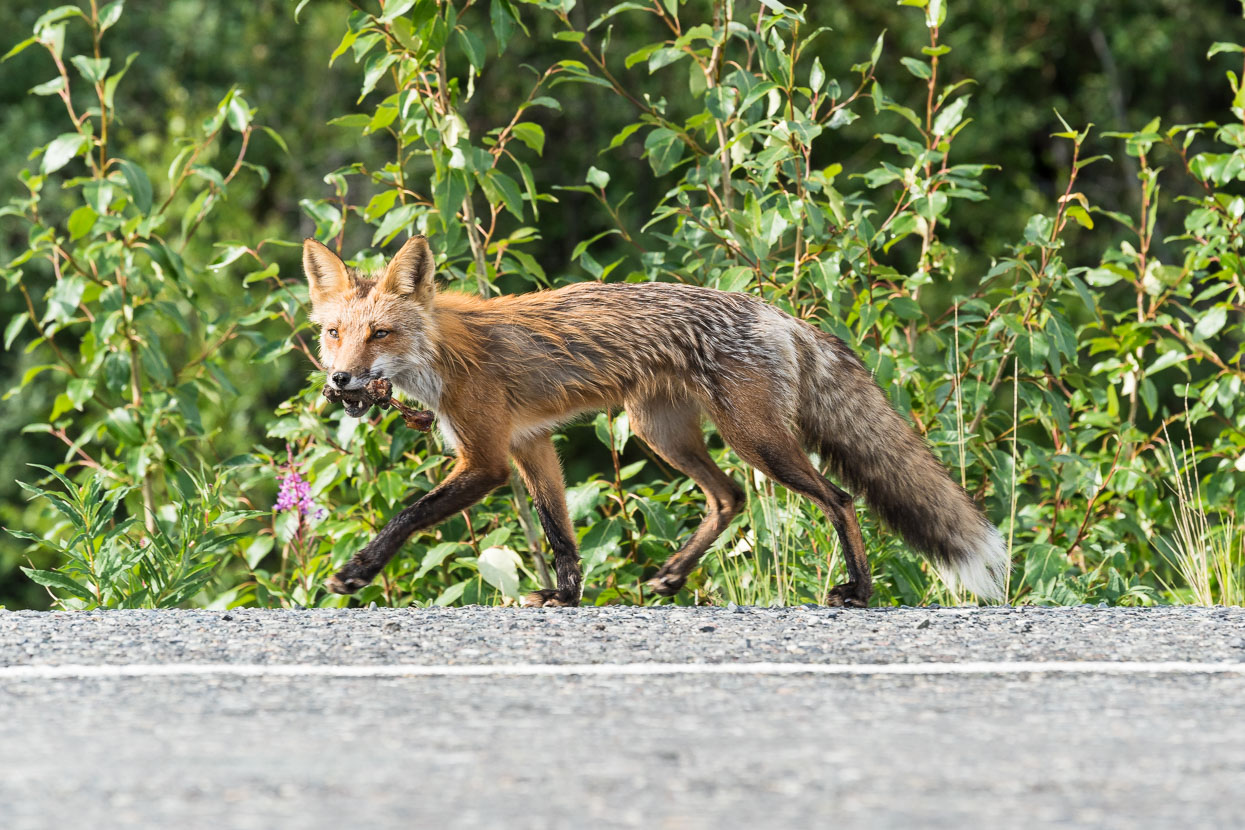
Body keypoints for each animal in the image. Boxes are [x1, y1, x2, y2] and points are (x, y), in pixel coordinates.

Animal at [303, 236, 1010, 607]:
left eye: (380, 334)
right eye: (334, 334)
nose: (340, 381)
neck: (444, 354)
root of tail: (780, 314)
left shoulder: (487, 458)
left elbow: (410, 515)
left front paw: (357, 571)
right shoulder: (531, 444)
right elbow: (560, 534)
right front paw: (565, 597)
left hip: (755, 440)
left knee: (838, 498)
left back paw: (856, 590)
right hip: (664, 434)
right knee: (728, 498)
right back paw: (672, 574)